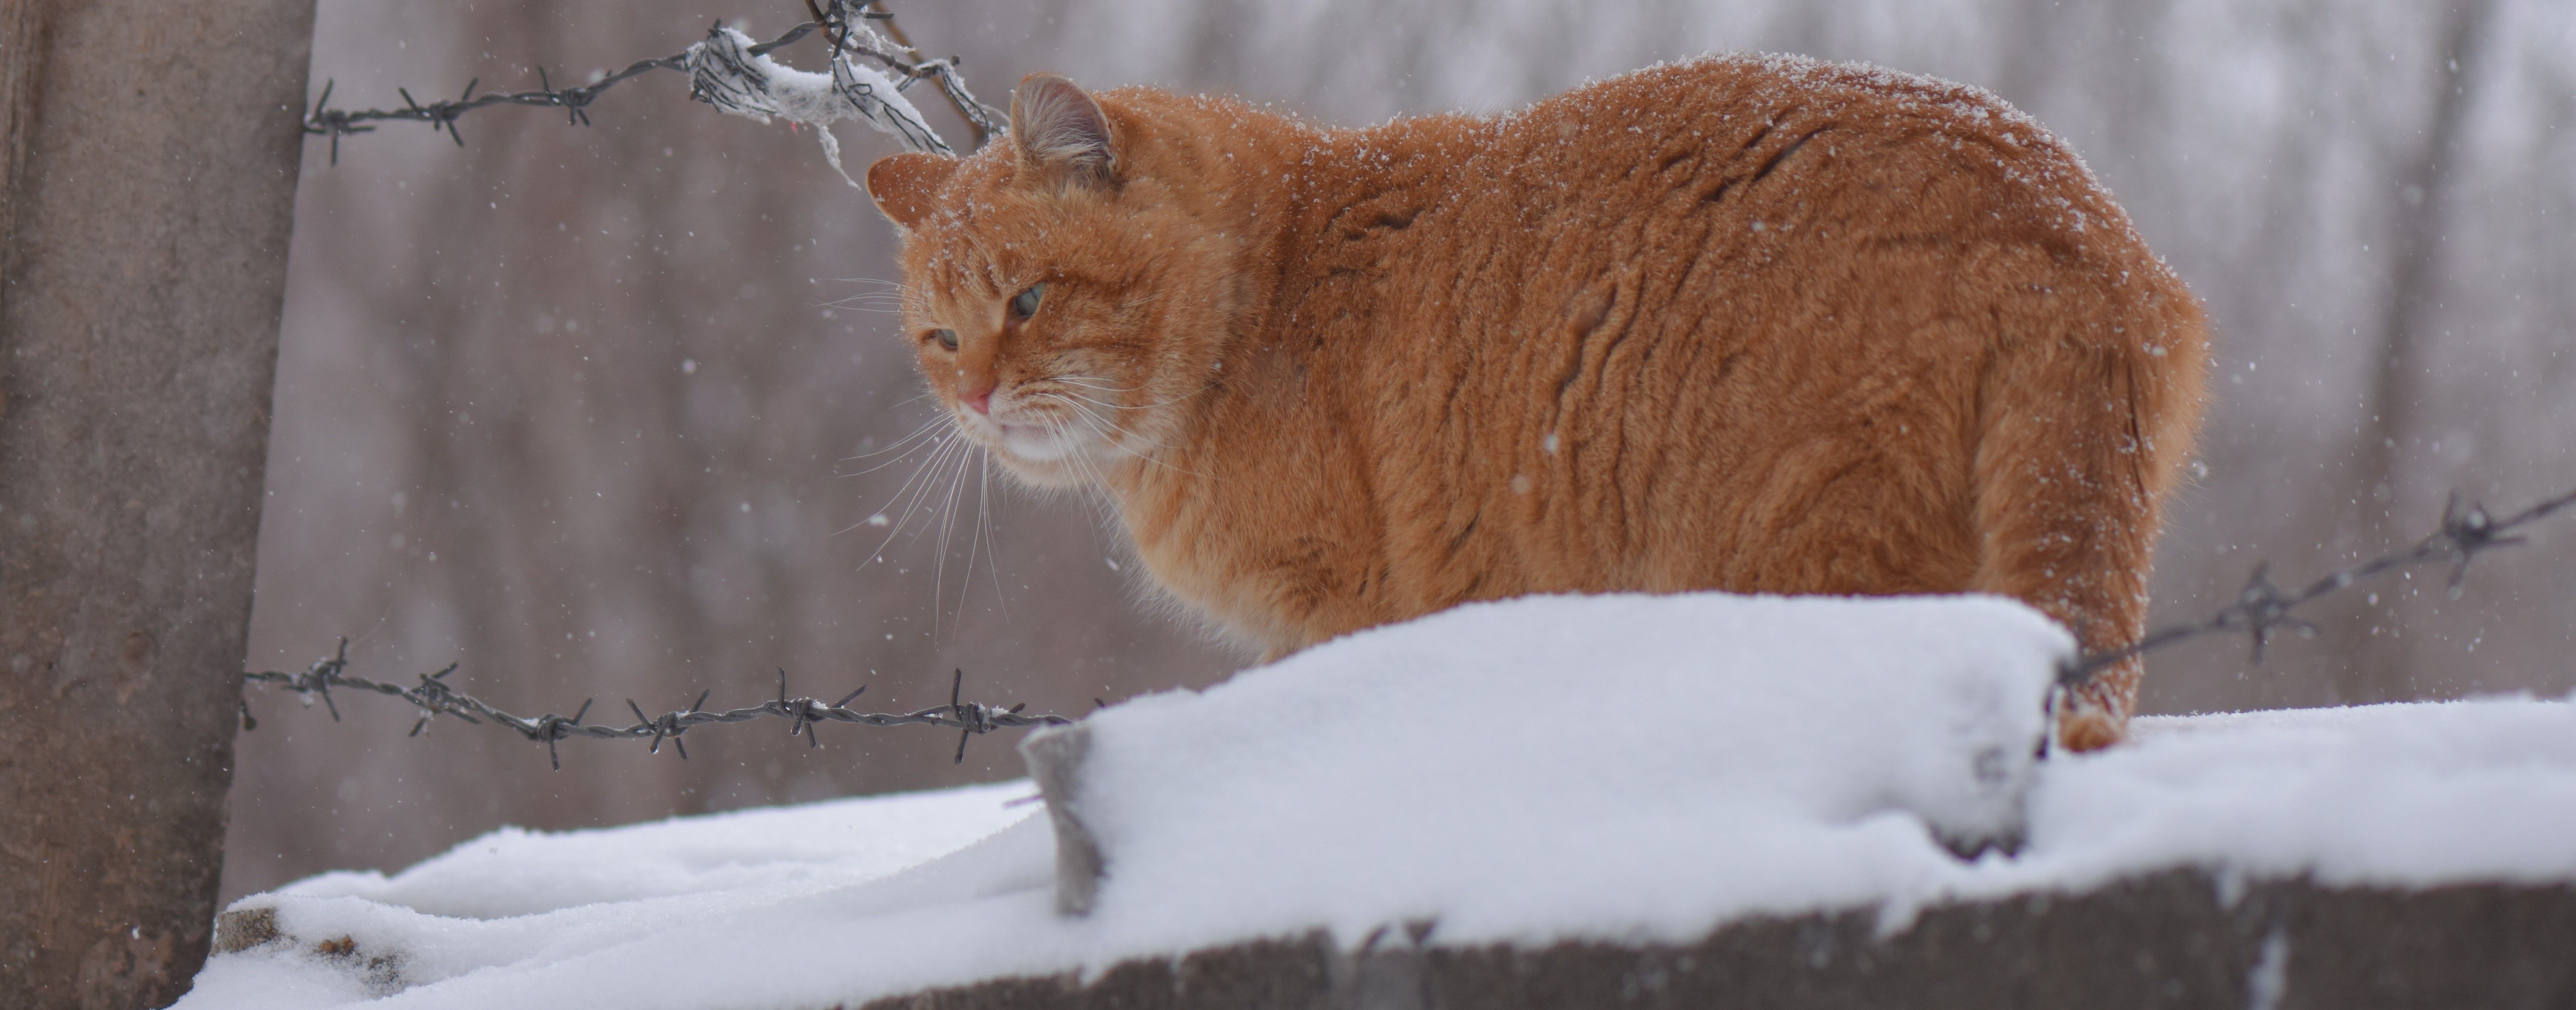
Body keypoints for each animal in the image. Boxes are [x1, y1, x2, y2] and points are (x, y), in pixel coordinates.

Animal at [866, 57, 2215, 747]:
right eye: (940, 336)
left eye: (1030, 299)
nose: (976, 394)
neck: (1271, 292)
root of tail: (2062, 223)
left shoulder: (1338, 612)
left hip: (1798, 551)